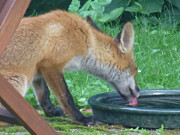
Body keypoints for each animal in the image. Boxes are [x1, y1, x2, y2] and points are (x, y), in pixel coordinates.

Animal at [0, 10, 140, 125]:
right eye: (135, 70)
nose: (139, 92)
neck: (86, 41)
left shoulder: (38, 69)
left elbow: (44, 95)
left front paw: (51, 113)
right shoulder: (51, 65)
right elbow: (67, 97)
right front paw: (81, 119)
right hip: (19, 80)